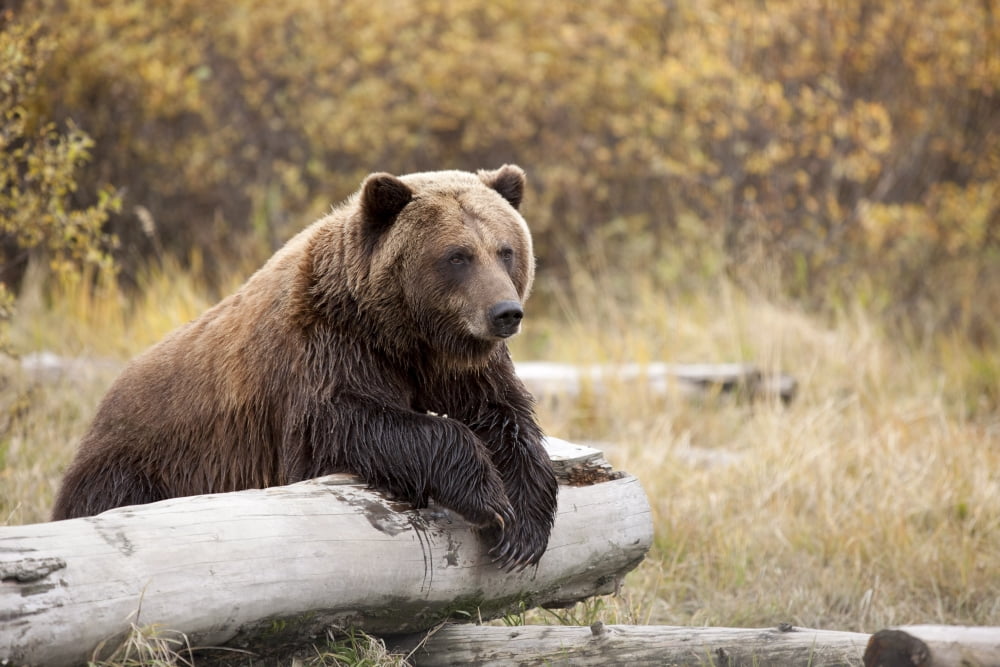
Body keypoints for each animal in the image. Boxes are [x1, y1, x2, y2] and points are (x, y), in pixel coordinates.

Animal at [51, 165, 558, 571]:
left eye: (506, 249)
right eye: (457, 255)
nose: (505, 312)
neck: (403, 336)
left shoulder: (459, 367)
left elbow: (505, 416)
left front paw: (523, 529)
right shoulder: (325, 350)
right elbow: (345, 424)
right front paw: (488, 497)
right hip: (139, 467)